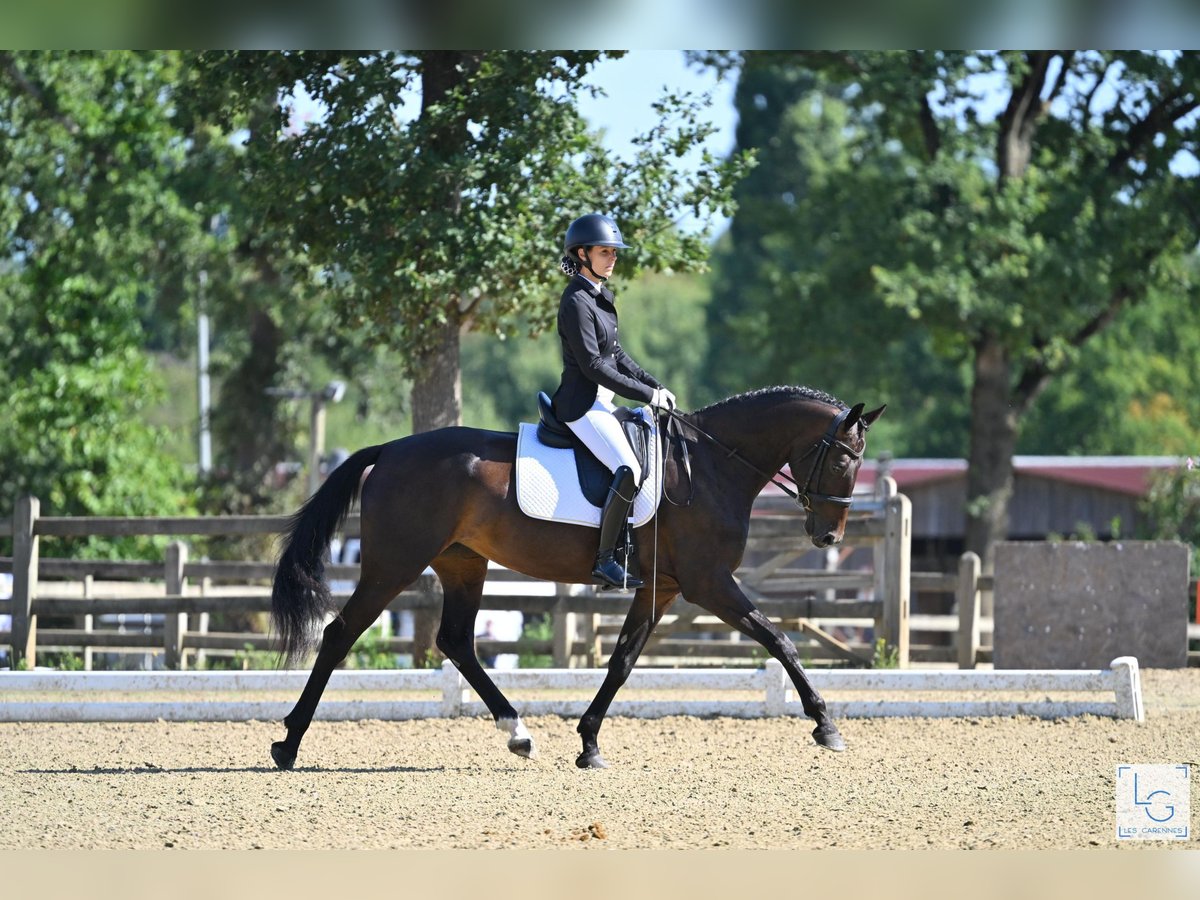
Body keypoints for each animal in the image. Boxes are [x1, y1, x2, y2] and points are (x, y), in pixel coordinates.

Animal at [269, 385, 885, 770]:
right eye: (843, 460)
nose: (828, 538)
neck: (711, 466)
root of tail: (391, 449)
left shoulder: (663, 587)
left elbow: (623, 661)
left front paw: (588, 743)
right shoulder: (709, 583)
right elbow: (778, 638)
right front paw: (825, 725)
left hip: (463, 562)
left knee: (457, 642)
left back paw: (518, 733)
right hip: (396, 562)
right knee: (340, 633)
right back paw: (288, 743)